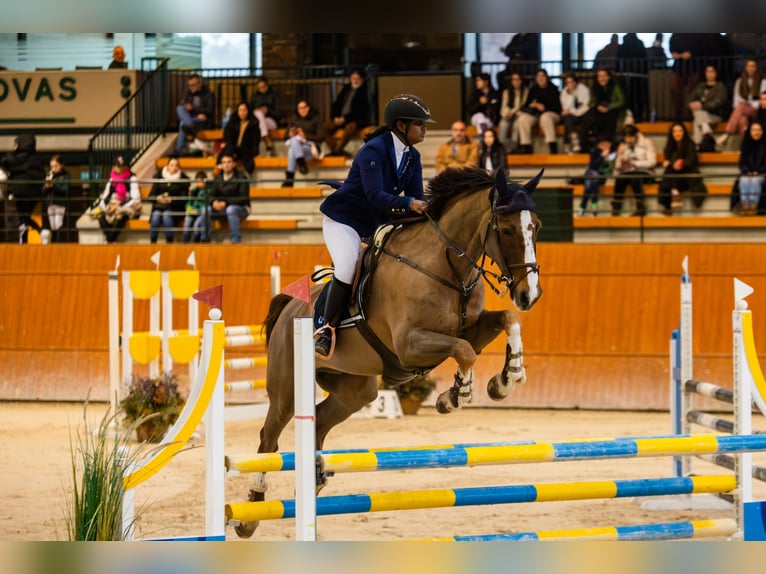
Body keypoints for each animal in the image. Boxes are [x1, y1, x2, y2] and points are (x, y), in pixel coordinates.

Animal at [234, 165, 544, 538]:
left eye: (537, 227)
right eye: (507, 229)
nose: (530, 295)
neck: (447, 268)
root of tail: (290, 309)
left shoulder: (471, 328)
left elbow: (505, 321)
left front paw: (506, 379)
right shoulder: (410, 346)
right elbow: (465, 351)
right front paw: (456, 395)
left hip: (355, 390)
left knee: (319, 423)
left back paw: (314, 480)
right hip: (286, 391)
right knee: (269, 438)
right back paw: (251, 511)